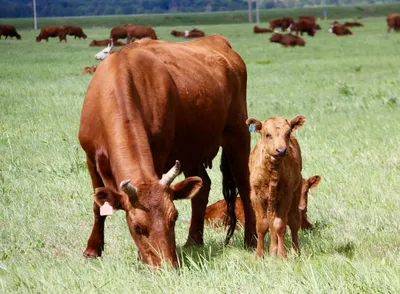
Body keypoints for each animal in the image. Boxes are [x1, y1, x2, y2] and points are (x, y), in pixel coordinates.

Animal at [79, 35, 256, 268]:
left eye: (174, 218)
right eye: (137, 227)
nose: (167, 265)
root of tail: (218, 40)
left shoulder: (158, 155)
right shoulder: (90, 159)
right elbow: (97, 206)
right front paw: (92, 249)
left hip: (238, 135)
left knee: (244, 186)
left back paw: (251, 240)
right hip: (192, 151)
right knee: (203, 186)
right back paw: (193, 240)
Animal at [245, 115, 304, 258]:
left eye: (287, 133)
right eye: (268, 134)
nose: (281, 150)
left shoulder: (286, 196)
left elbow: (280, 225)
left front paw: (282, 255)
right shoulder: (256, 197)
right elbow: (262, 225)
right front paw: (259, 255)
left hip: (296, 193)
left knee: (293, 221)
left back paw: (295, 251)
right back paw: (272, 251)